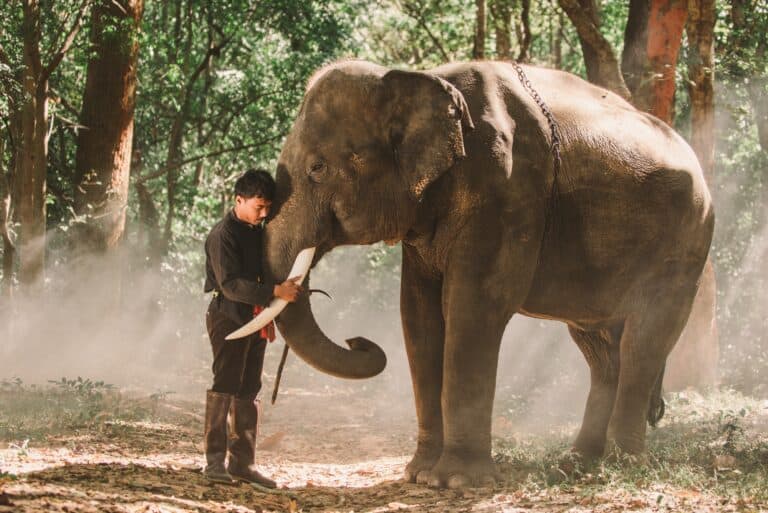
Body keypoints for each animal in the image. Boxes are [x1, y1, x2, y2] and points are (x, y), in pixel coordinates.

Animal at [260, 60, 712, 488]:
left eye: (317, 168)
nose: (358, 340)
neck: (420, 77)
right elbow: (418, 315)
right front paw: (418, 475)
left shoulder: (508, 189)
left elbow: (474, 306)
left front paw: (456, 481)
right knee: (600, 352)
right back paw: (578, 464)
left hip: (685, 244)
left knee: (643, 341)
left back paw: (620, 465)